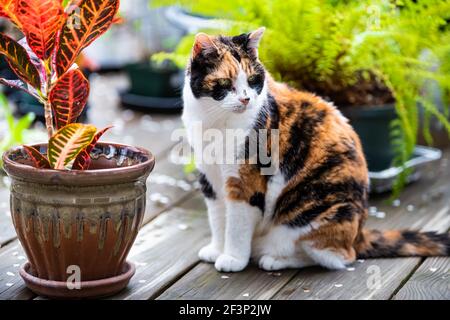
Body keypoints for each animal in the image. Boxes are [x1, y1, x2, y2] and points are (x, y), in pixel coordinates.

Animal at [181, 28, 448, 272]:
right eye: (226, 84)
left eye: (253, 80)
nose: (246, 99)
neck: (215, 122)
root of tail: (360, 234)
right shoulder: (210, 178)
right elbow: (218, 218)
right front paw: (217, 250)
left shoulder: (245, 181)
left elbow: (236, 225)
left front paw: (233, 259)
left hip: (314, 214)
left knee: (338, 257)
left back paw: (274, 259)